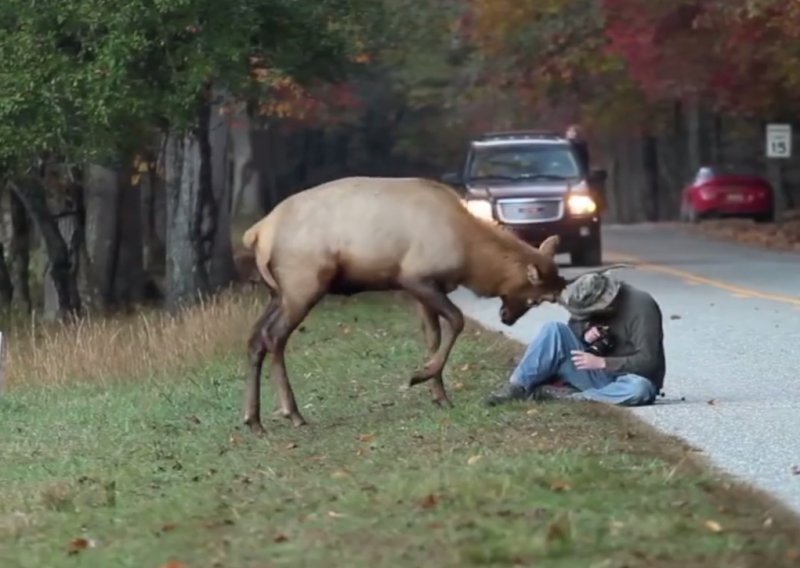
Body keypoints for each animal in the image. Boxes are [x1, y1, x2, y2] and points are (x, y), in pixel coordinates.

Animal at [241, 175, 572, 432]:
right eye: (540, 298)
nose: (507, 318)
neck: (470, 258)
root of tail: (257, 233)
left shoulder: (422, 290)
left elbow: (433, 337)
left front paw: (440, 396)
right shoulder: (415, 277)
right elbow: (456, 321)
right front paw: (419, 376)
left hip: (278, 293)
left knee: (255, 338)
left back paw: (254, 419)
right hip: (303, 284)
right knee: (274, 337)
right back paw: (292, 413)